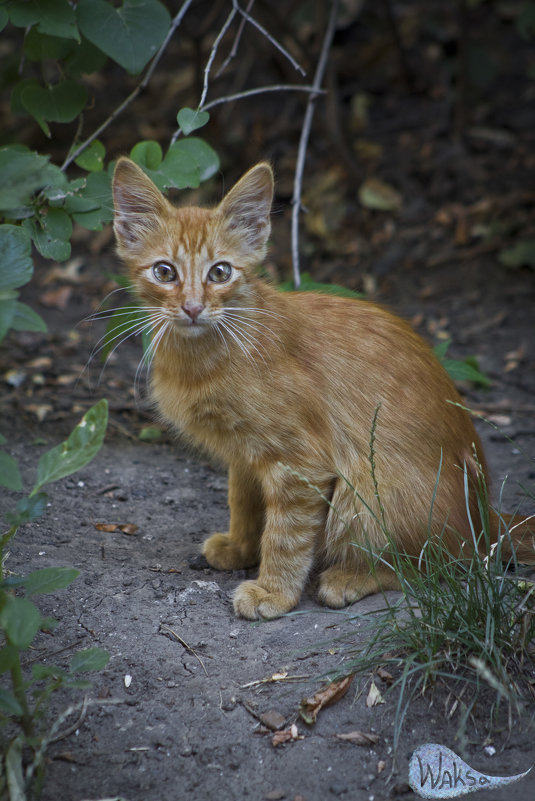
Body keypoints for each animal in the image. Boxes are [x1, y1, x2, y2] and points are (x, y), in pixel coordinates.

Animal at [111, 158, 532, 620]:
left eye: (219, 272)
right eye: (164, 272)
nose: (191, 307)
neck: (206, 355)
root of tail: (486, 516)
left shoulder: (301, 462)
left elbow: (286, 535)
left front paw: (274, 591)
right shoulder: (245, 454)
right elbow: (244, 502)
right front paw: (241, 547)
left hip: (367, 486)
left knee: (439, 562)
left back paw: (350, 578)